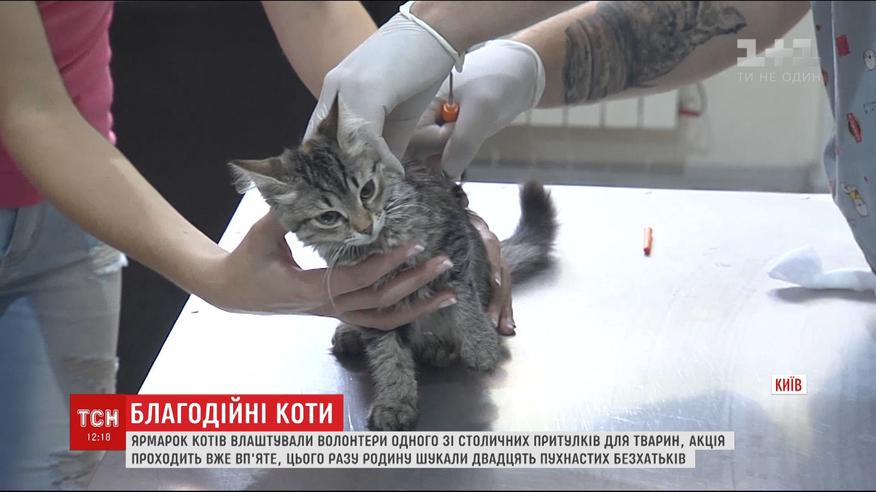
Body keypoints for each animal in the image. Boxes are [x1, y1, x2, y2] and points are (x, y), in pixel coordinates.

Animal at [229, 99, 557, 431]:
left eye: (366, 190)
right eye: (329, 217)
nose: (365, 226)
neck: (381, 243)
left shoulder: (454, 242)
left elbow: (464, 299)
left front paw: (480, 344)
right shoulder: (372, 303)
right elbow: (388, 354)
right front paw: (396, 401)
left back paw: (442, 345)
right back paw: (351, 332)